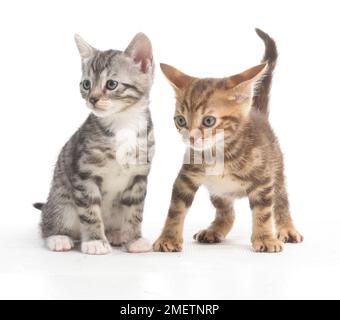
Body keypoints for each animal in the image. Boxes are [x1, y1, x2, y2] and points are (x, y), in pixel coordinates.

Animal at [33, 33, 155, 255]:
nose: (92, 99)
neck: (123, 123)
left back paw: (116, 234)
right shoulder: (85, 175)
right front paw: (95, 241)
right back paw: (59, 237)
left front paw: (134, 239)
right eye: (86, 84)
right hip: (61, 201)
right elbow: (90, 212)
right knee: (49, 224)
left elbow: (135, 212)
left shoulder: (139, 176)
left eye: (112, 84)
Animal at [153, 29, 302, 252]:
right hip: (218, 191)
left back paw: (287, 227)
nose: (190, 138)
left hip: (276, 170)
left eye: (208, 121)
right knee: (228, 212)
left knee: (281, 201)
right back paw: (214, 230)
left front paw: (265, 238)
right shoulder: (185, 178)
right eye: (180, 120)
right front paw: (168, 238)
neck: (219, 151)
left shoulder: (264, 180)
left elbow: (263, 212)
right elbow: (175, 209)